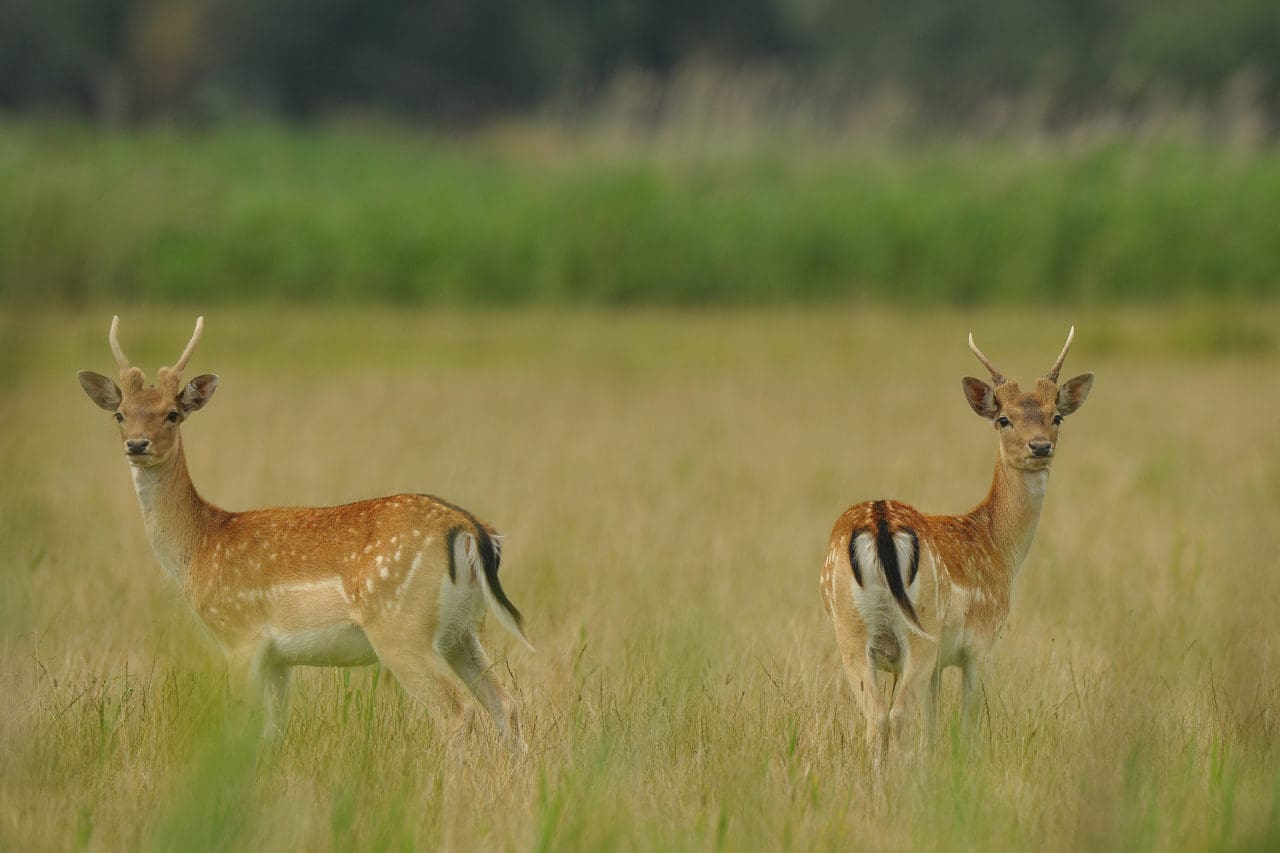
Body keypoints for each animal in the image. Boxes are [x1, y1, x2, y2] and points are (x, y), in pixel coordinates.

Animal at [77, 315, 532, 747]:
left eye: (172, 413)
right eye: (120, 413)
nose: (137, 444)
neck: (200, 545)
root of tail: (473, 531)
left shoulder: (240, 636)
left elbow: (243, 726)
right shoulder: (280, 658)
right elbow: (273, 733)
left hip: (401, 628)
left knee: (457, 712)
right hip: (461, 630)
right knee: (505, 704)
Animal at [819, 325, 1090, 763]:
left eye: (1057, 416)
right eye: (1003, 419)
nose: (1040, 446)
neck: (999, 547)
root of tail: (878, 522)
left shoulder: (938, 663)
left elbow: (932, 725)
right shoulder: (981, 644)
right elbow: (966, 722)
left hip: (850, 632)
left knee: (876, 716)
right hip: (921, 632)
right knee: (896, 715)